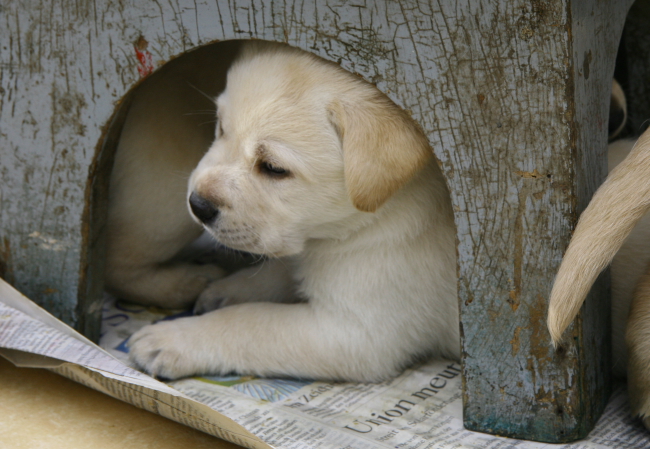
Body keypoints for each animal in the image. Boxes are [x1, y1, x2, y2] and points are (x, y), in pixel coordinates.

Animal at [128, 40, 456, 380]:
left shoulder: (354, 333)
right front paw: (231, 289)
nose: (197, 204)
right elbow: (280, 270)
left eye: (274, 168)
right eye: (220, 128)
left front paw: (173, 338)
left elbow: (250, 321)